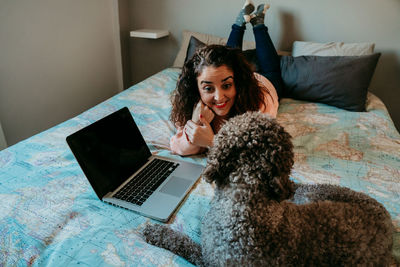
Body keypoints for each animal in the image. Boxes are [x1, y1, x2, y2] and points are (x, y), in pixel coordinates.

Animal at [143, 111, 390, 267]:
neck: (247, 195)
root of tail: (385, 218)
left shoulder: (208, 260)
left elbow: (182, 243)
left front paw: (156, 232)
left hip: (309, 194)